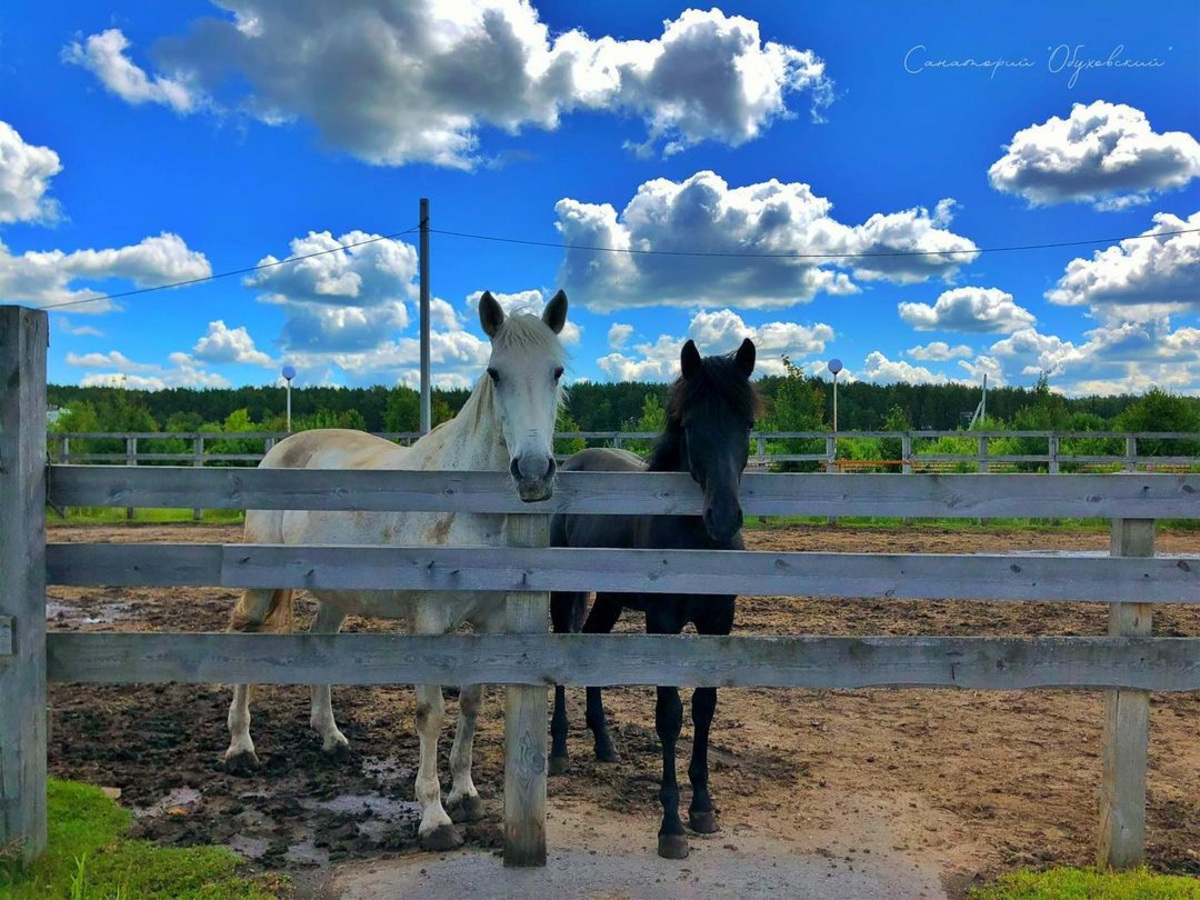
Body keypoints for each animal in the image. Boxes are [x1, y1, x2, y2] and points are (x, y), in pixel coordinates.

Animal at [225, 290, 571, 854]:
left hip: (334, 594)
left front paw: (466, 795)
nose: (534, 471)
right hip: (260, 584)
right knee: (241, 636)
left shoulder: (490, 622)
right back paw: (241, 748)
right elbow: (430, 714)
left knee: (321, 644)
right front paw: (434, 818)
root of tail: (282, 448)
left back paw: (331, 738)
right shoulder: (427, 625)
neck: (466, 508)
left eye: (556, 372)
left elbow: (471, 704)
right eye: (495, 373)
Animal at [547, 338, 753, 859]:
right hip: (564, 591)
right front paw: (671, 827)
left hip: (609, 600)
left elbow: (704, 706)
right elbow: (670, 716)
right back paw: (558, 752)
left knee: (593, 647)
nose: (724, 517)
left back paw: (605, 746)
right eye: (690, 425)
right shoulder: (662, 624)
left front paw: (703, 808)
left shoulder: (717, 624)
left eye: (746, 424)